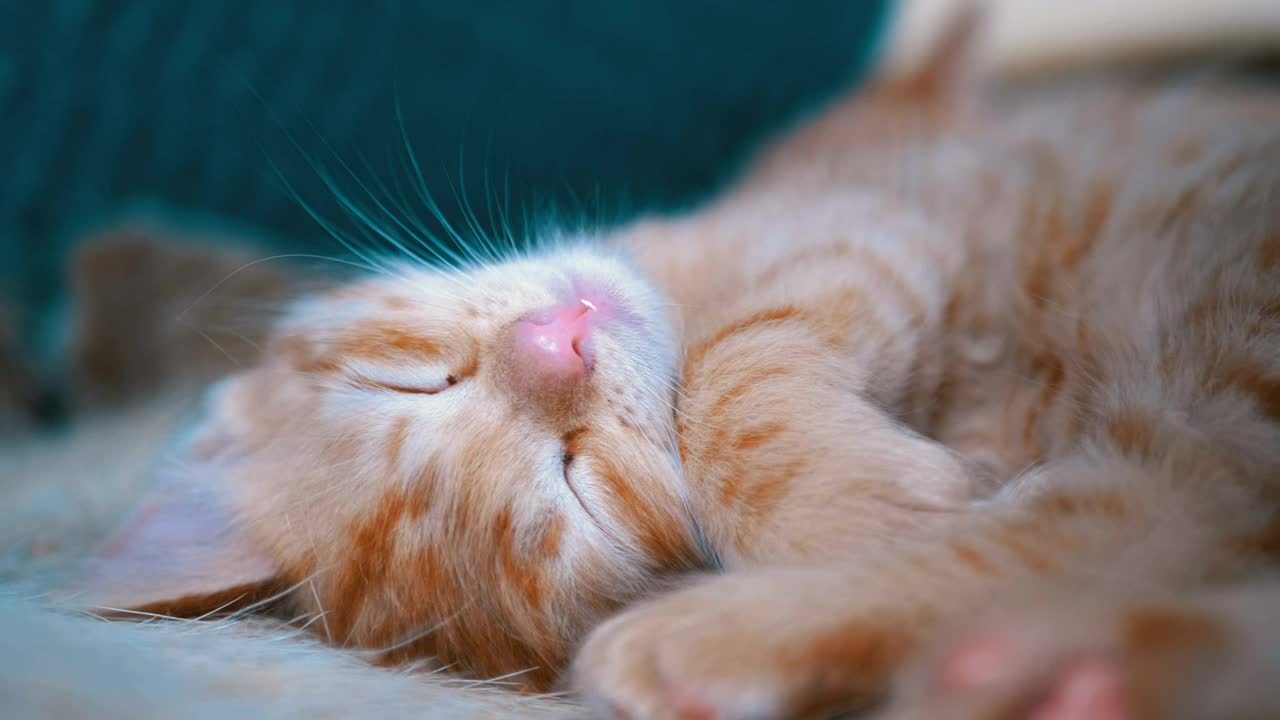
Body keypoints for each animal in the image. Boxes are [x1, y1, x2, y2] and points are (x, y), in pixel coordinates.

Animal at [72, 11, 1280, 717]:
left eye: (416, 377)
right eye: (579, 483)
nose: (553, 346)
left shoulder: (881, 220)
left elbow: (735, 377)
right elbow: (736, 388)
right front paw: (865, 518)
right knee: (1121, 516)